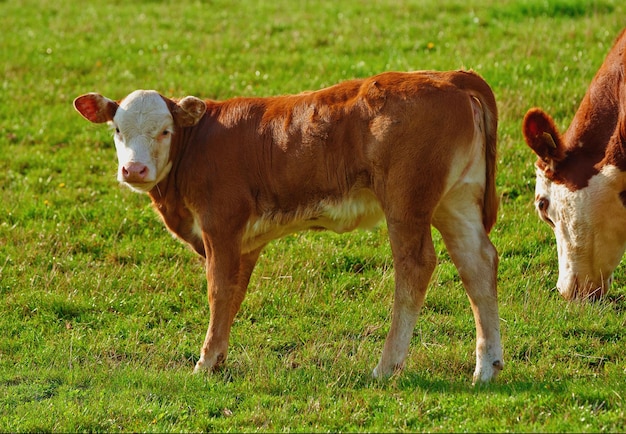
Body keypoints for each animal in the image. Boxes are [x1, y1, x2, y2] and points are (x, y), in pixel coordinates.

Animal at [73, 70, 502, 384]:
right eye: (117, 130)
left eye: (165, 130)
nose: (133, 169)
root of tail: (448, 77)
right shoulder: (244, 242)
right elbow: (233, 294)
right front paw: (219, 358)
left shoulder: (220, 226)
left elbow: (219, 291)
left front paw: (205, 362)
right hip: (456, 199)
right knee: (478, 264)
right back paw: (486, 368)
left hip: (406, 201)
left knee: (416, 266)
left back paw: (386, 367)